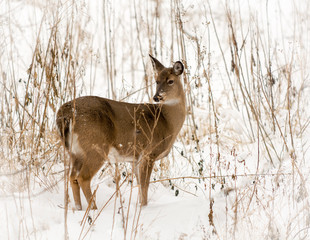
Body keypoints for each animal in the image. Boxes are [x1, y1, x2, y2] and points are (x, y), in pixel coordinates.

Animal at [56, 55, 185, 209]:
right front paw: (144, 207)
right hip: (95, 146)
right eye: (157, 81)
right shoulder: (149, 153)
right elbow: (145, 186)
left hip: (75, 152)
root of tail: (65, 114)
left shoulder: (134, 158)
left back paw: (79, 209)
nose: (156, 97)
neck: (167, 122)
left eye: (170, 81)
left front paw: (140, 206)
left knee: (72, 177)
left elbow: (139, 185)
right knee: (83, 177)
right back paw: (93, 209)